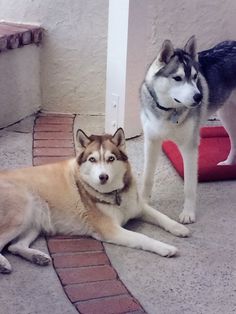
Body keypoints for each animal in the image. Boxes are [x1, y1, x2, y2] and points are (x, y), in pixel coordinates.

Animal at [0, 129, 189, 274]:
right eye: (92, 159)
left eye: (111, 158)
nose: (103, 177)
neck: (115, 195)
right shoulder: (111, 230)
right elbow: (142, 237)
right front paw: (165, 247)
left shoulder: (138, 206)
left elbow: (161, 216)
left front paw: (178, 227)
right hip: (21, 213)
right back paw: (3, 263)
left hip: (34, 221)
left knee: (14, 247)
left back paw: (37, 257)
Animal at [140, 36, 236, 223]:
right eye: (177, 78)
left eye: (195, 76)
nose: (199, 97)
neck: (168, 111)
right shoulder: (151, 142)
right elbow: (147, 176)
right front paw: (143, 202)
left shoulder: (189, 148)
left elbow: (189, 187)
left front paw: (188, 213)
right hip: (226, 115)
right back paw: (228, 163)